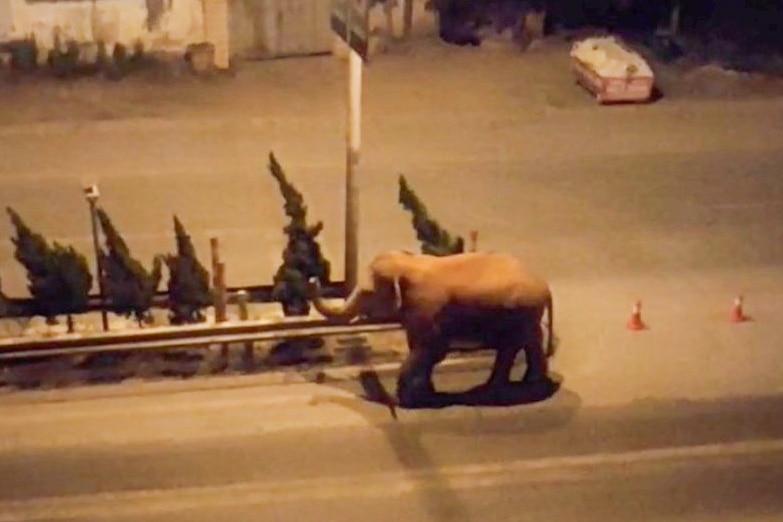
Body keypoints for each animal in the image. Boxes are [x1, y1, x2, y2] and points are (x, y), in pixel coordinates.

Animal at [310, 250, 556, 408]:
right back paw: (504, 387)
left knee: (521, 344)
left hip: (523, 312)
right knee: (518, 345)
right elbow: (424, 351)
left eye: (368, 293)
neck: (407, 263)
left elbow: (432, 350)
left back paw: (522, 387)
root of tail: (545, 286)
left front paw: (404, 400)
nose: (313, 278)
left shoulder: (427, 308)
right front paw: (423, 394)